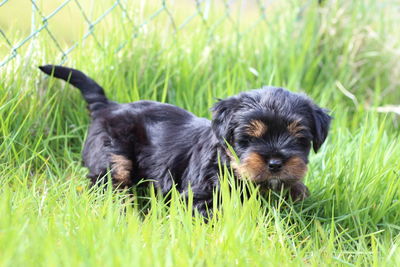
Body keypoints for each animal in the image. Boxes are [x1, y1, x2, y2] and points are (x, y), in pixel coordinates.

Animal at [38, 65, 332, 218]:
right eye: (247, 138)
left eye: (300, 139)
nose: (275, 162)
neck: (230, 165)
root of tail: (108, 107)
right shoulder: (201, 194)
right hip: (110, 154)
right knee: (111, 183)